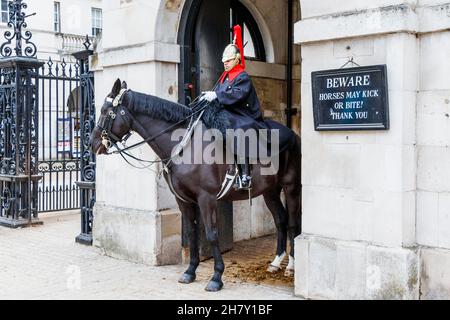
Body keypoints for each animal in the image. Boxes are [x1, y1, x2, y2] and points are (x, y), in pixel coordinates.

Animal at [91, 79, 302, 292]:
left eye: (105, 111)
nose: (93, 144)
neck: (183, 146)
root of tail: (293, 134)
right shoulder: (184, 200)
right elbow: (192, 233)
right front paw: (190, 271)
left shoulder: (206, 198)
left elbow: (211, 234)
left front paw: (216, 277)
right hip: (270, 191)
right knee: (280, 220)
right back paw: (276, 263)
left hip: (291, 187)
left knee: (293, 223)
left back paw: (291, 267)